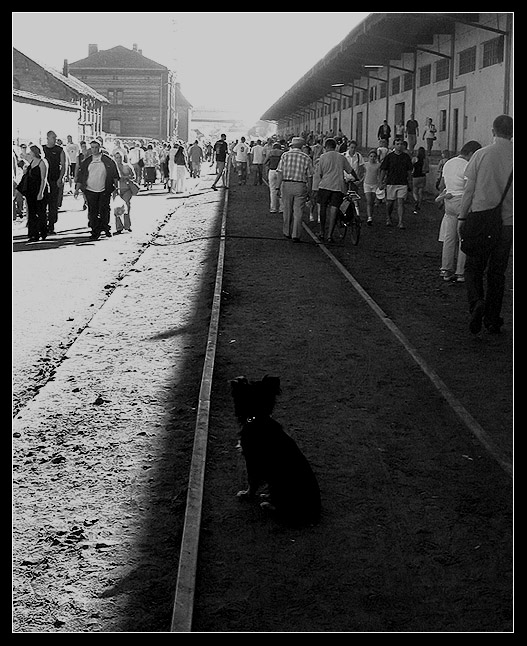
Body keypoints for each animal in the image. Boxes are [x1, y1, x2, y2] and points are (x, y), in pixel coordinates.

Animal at [231, 378, 322, 528]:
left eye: (246, 384)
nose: (237, 379)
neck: (258, 419)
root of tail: (315, 514)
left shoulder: (252, 462)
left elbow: (251, 482)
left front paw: (246, 495)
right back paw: (268, 496)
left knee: (284, 511)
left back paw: (268, 505)